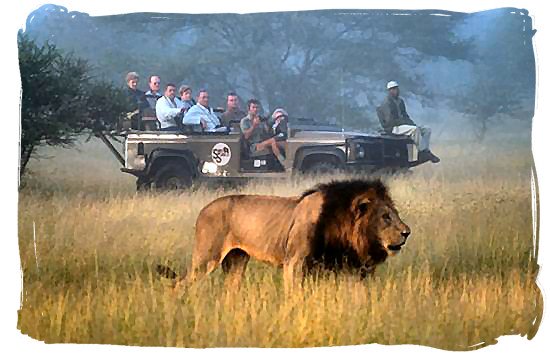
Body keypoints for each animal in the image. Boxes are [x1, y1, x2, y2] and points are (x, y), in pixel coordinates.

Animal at [157, 178, 412, 292]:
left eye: (395, 213)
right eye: (385, 217)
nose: (407, 232)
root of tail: (203, 209)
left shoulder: (346, 269)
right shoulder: (295, 264)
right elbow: (295, 295)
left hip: (237, 260)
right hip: (206, 258)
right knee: (179, 284)